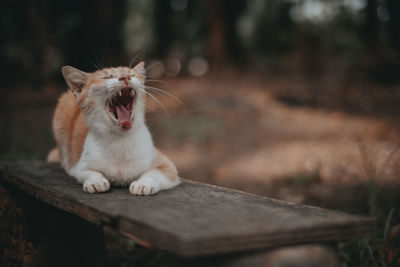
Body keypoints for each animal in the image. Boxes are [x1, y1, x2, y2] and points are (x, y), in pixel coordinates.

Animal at [45, 62, 181, 197]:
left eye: (131, 74)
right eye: (107, 77)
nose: (125, 77)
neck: (119, 140)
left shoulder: (167, 166)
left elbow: (153, 173)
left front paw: (143, 184)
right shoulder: (82, 166)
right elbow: (88, 172)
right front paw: (96, 181)